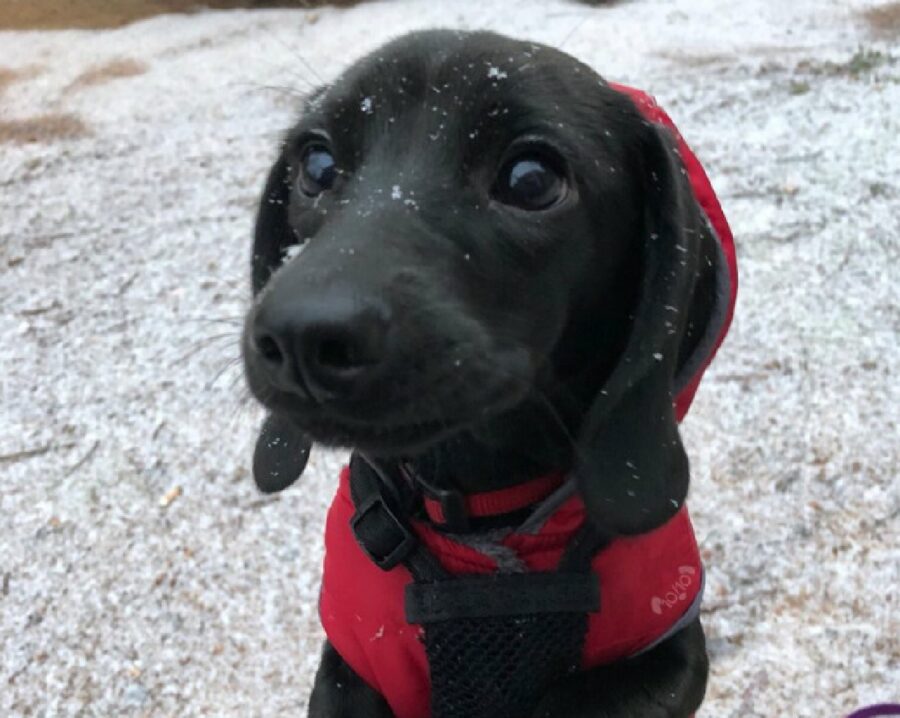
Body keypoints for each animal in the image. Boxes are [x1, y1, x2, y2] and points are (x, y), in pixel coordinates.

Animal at [241, 29, 740, 718]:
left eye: (531, 180)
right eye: (314, 165)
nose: (299, 335)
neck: (480, 517)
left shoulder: (667, 653)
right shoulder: (352, 663)